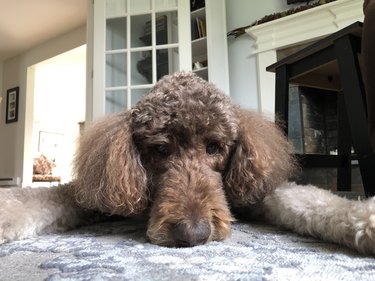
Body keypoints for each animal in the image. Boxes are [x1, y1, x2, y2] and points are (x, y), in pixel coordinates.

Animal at [0, 70, 375, 254]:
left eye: (214, 147)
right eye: (160, 150)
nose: (192, 234)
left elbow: (308, 200)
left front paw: (364, 221)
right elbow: (51, 197)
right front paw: (8, 212)